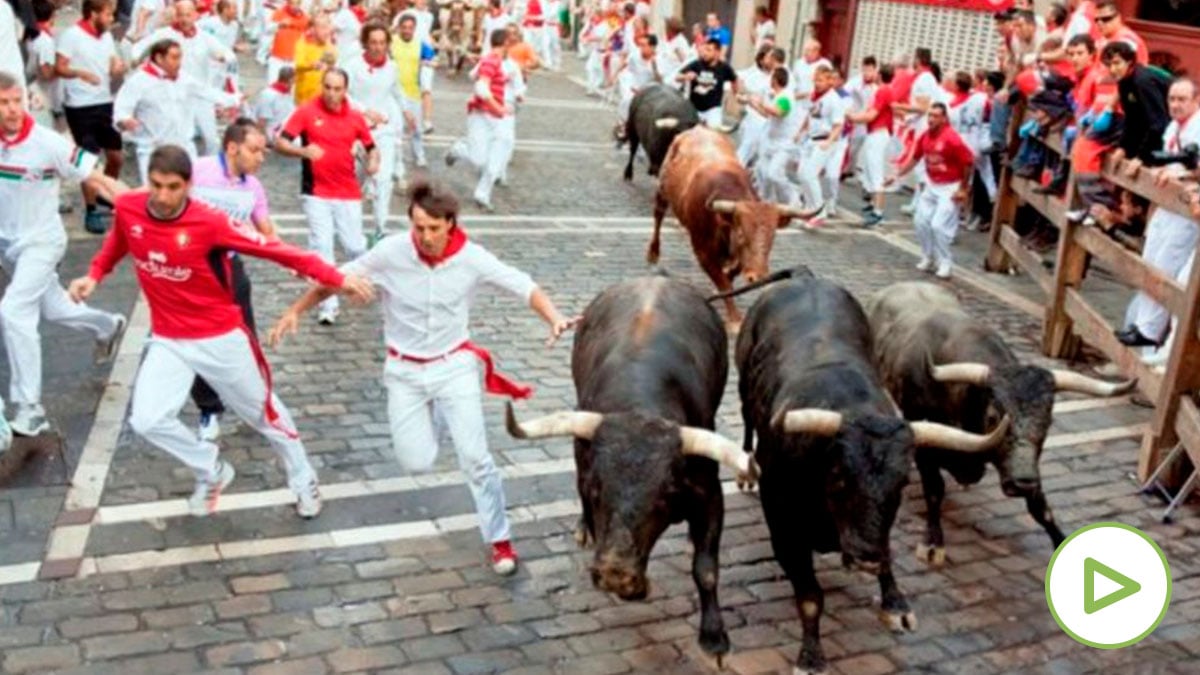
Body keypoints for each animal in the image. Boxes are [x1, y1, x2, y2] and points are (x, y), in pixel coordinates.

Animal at [504, 277, 748, 658]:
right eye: (596, 489)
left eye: (665, 495)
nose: (616, 573)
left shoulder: (709, 494)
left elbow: (706, 568)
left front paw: (713, 636)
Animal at [648, 127, 816, 326]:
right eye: (741, 233)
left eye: (772, 236)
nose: (758, 276)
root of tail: (697, 129)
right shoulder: (703, 251)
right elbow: (724, 284)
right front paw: (735, 319)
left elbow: (732, 273)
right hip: (662, 190)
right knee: (658, 215)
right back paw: (653, 253)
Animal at [739, 275, 1012, 672]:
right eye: (838, 475)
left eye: (901, 483)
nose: (864, 553)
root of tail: (804, 276)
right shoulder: (783, 526)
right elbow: (810, 596)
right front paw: (811, 656)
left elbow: (888, 555)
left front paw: (895, 604)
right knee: (746, 418)